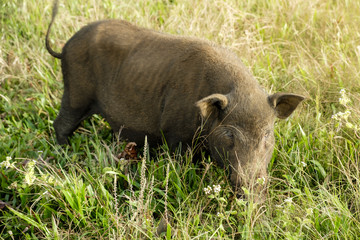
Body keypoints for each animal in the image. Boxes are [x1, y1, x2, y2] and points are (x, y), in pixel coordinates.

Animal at [45, 0, 304, 194]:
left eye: (267, 134)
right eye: (230, 134)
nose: (251, 185)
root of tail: (65, 47)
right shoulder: (175, 135)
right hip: (76, 93)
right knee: (60, 124)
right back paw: (62, 153)